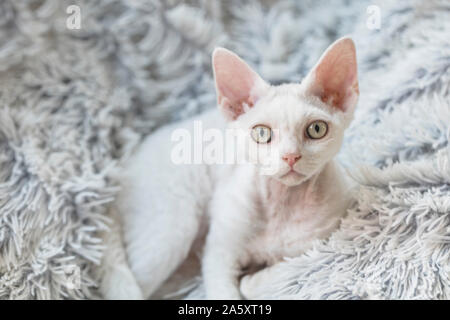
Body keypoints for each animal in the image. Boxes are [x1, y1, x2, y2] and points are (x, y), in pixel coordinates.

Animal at [99, 37, 358, 300]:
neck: (283, 204)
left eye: (316, 129)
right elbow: (225, 290)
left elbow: (289, 270)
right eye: (262, 133)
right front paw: (248, 281)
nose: (290, 156)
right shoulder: (220, 253)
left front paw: (253, 279)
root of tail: (126, 167)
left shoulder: (323, 242)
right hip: (174, 226)